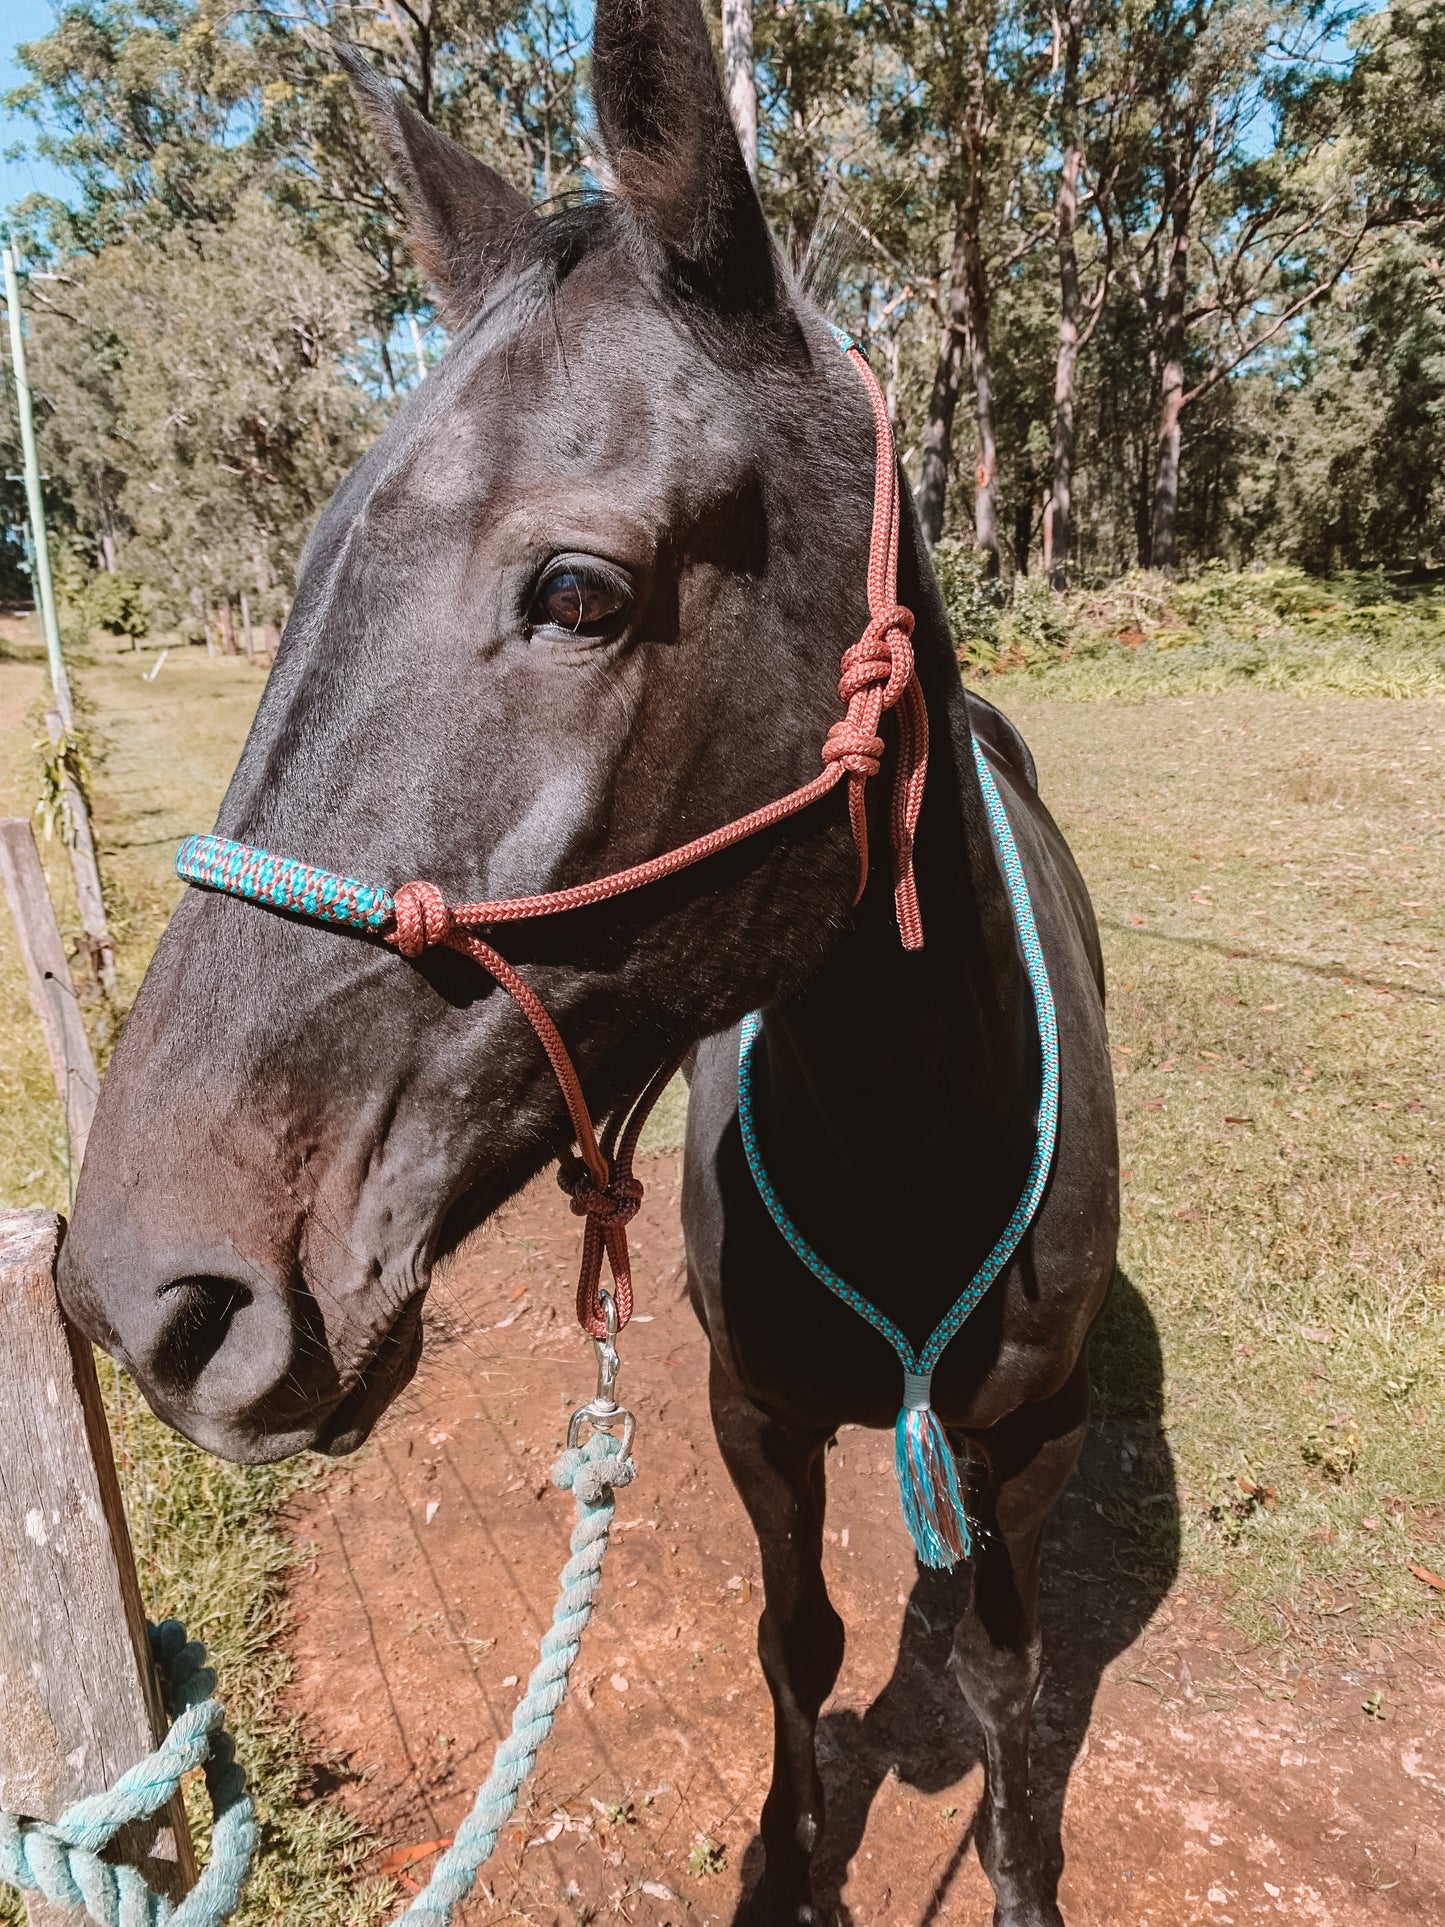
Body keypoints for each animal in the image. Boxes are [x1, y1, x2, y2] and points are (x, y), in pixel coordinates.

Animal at [59, 4, 1119, 1921]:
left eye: (575, 591)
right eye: (307, 564)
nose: (143, 1294)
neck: (911, 1155)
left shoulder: (1038, 1437)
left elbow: (1006, 1672)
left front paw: (1016, 1867)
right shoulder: (752, 1411)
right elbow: (799, 1639)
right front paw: (787, 1860)